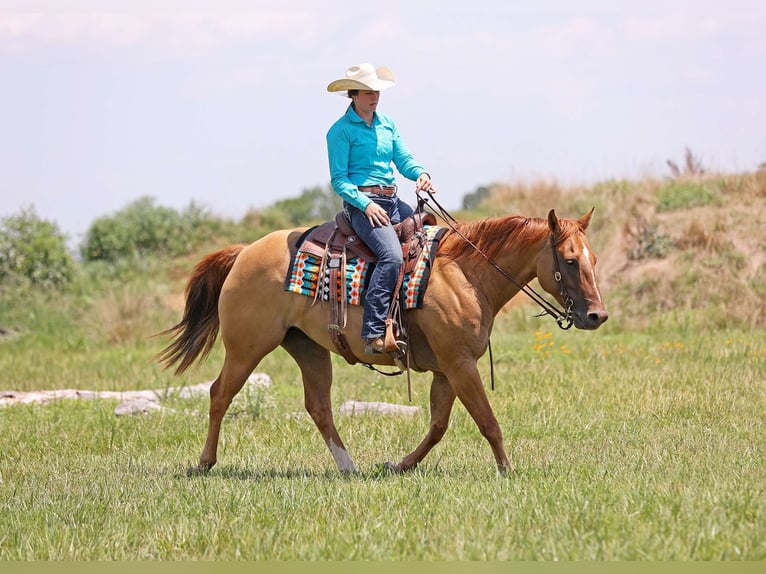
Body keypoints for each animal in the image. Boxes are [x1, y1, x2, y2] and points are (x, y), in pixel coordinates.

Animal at [156, 208, 608, 475]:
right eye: (570, 261)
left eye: (593, 259)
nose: (597, 315)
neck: (465, 272)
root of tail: (245, 251)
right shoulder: (460, 363)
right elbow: (487, 420)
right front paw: (508, 471)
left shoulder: (447, 369)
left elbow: (438, 425)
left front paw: (399, 465)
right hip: (246, 348)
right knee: (219, 394)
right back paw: (204, 463)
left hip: (308, 349)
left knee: (318, 406)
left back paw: (348, 467)